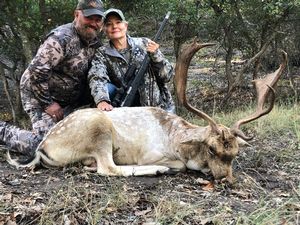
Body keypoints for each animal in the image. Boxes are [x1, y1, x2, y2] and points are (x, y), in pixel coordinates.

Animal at [6, 40, 288, 183]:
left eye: (235, 153)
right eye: (211, 148)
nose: (226, 178)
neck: (176, 139)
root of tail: (42, 147)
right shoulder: (154, 152)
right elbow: (180, 166)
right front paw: (167, 167)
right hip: (98, 130)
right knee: (107, 167)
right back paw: (156, 171)